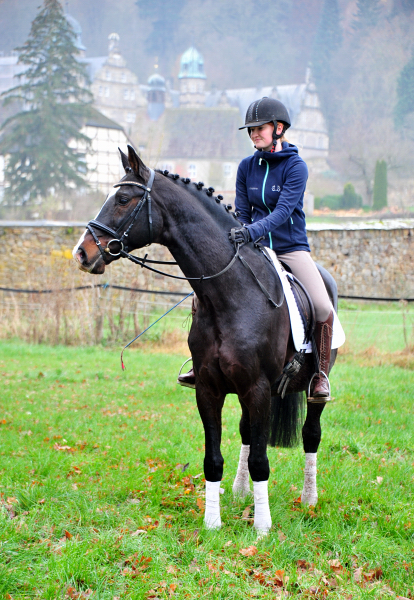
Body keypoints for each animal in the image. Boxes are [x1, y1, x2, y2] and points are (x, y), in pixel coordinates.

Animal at [73, 146, 338, 536]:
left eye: (122, 199)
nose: (81, 253)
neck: (229, 294)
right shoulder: (209, 388)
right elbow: (214, 457)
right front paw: (212, 523)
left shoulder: (258, 387)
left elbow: (262, 460)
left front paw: (262, 528)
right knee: (246, 433)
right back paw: (241, 492)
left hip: (311, 384)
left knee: (310, 433)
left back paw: (309, 499)